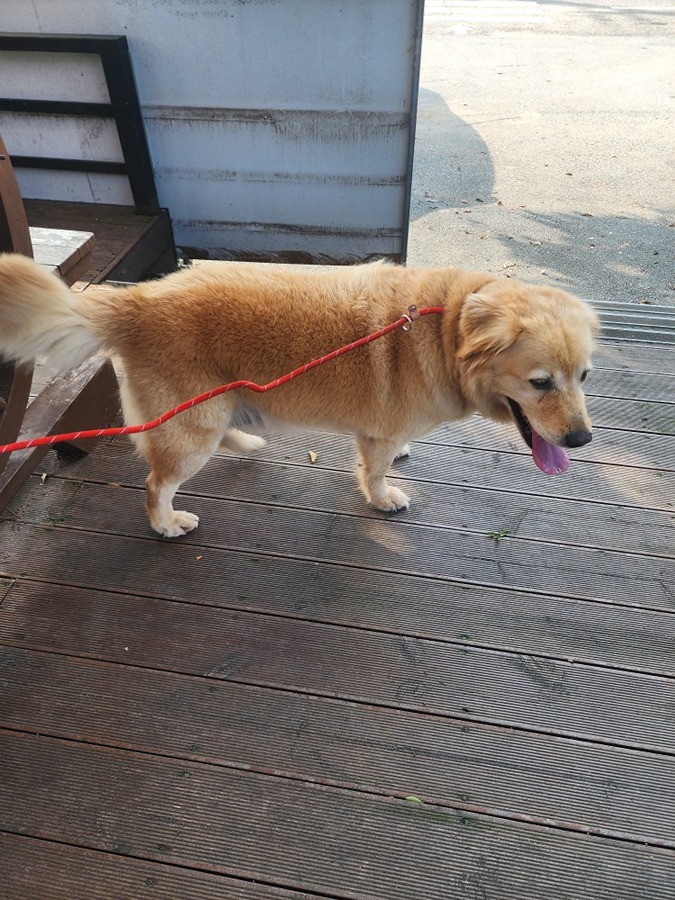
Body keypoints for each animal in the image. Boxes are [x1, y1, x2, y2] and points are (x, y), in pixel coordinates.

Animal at [0, 253, 600, 536]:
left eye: (585, 376)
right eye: (540, 382)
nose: (581, 440)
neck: (445, 326)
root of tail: (137, 299)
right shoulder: (378, 433)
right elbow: (375, 473)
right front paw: (383, 497)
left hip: (211, 410)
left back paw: (245, 441)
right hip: (193, 427)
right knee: (155, 485)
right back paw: (167, 523)